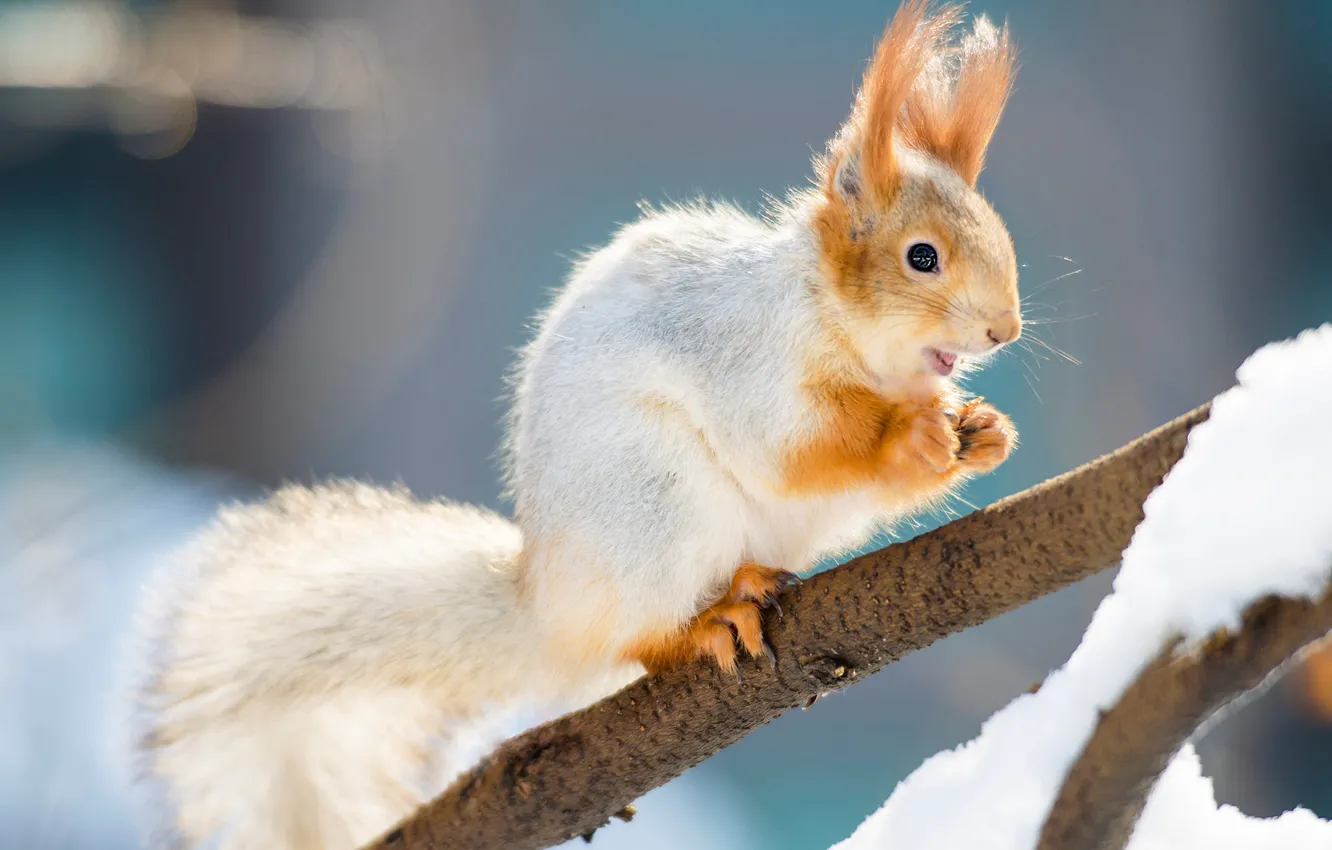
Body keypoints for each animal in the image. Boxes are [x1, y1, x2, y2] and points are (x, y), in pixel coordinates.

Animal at [126, 3, 1022, 849]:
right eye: (921, 257)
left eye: (999, 236)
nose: (1004, 330)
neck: (843, 327)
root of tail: (548, 603)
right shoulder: (748, 361)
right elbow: (788, 449)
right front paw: (911, 435)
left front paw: (980, 433)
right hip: (654, 505)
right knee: (643, 634)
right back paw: (709, 621)